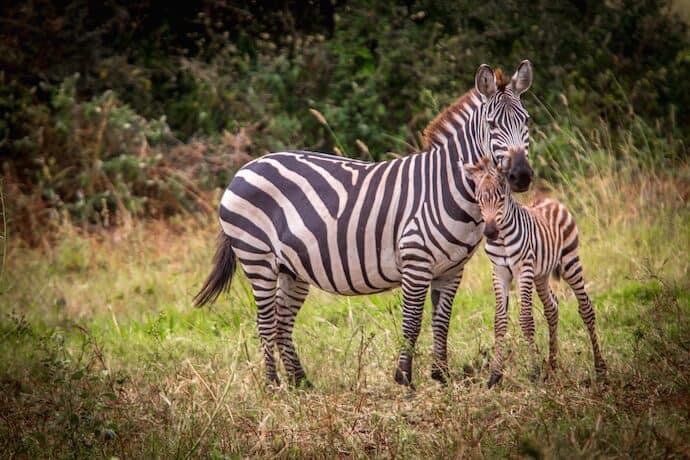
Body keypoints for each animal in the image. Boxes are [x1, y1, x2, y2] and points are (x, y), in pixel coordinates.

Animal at [196, 59, 536, 386]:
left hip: (291, 268)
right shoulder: (415, 261)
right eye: (492, 125)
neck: (448, 186)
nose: (521, 175)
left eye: (527, 121)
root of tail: (245, 168)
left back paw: (300, 383)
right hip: (257, 258)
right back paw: (273, 385)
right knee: (265, 324)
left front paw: (442, 377)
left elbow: (442, 323)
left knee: (281, 323)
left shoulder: (452, 269)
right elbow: (412, 323)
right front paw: (404, 379)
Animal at [464, 156, 604, 386]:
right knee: (552, 307)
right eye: (479, 200)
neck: (502, 238)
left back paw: (600, 368)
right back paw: (552, 367)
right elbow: (499, 321)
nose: (490, 232)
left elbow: (526, 320)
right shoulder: (499, 272)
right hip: (541, 275)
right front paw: (495, 375)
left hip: (570, 262)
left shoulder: (524, 270)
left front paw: (533, 373)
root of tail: (550, 200)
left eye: (501, 198)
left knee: (586, 309)